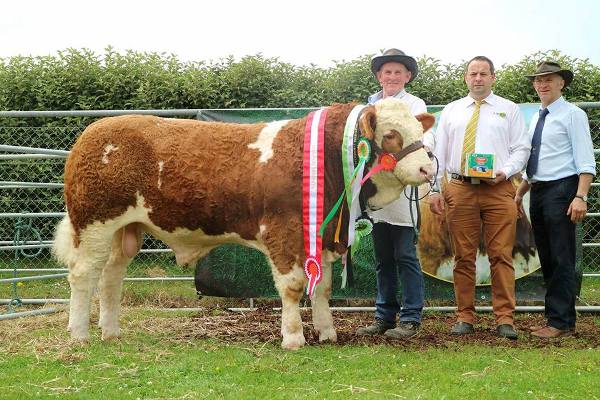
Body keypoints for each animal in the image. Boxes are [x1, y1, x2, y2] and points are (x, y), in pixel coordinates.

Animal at [52, 98, 432, 348]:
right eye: (391, 134)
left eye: (419, 131)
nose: (427, 168)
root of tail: (93, 131)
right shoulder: (283, 231)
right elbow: (294, 286)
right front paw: (293, 337)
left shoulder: (321, 235)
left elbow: (321, 288)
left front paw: (327, 332)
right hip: (94, 223)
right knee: (83, 275)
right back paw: (80, 335)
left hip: (124, 231)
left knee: (111, 277)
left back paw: (111, 332)